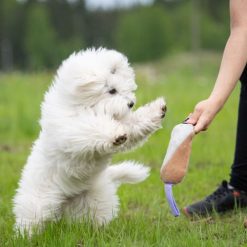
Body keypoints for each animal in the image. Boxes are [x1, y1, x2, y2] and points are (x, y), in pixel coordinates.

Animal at [13, 47, 166, 234]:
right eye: (112, 90)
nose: (131, 103)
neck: (87, 107)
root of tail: (64, 199)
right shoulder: (73, 130)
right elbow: (93, 128)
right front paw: (116, 134)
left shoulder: (123, 121)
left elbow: (135, 124)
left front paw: (158, 110)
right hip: (37, 202)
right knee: (30, 221)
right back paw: (26, 236)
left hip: (93, 201)